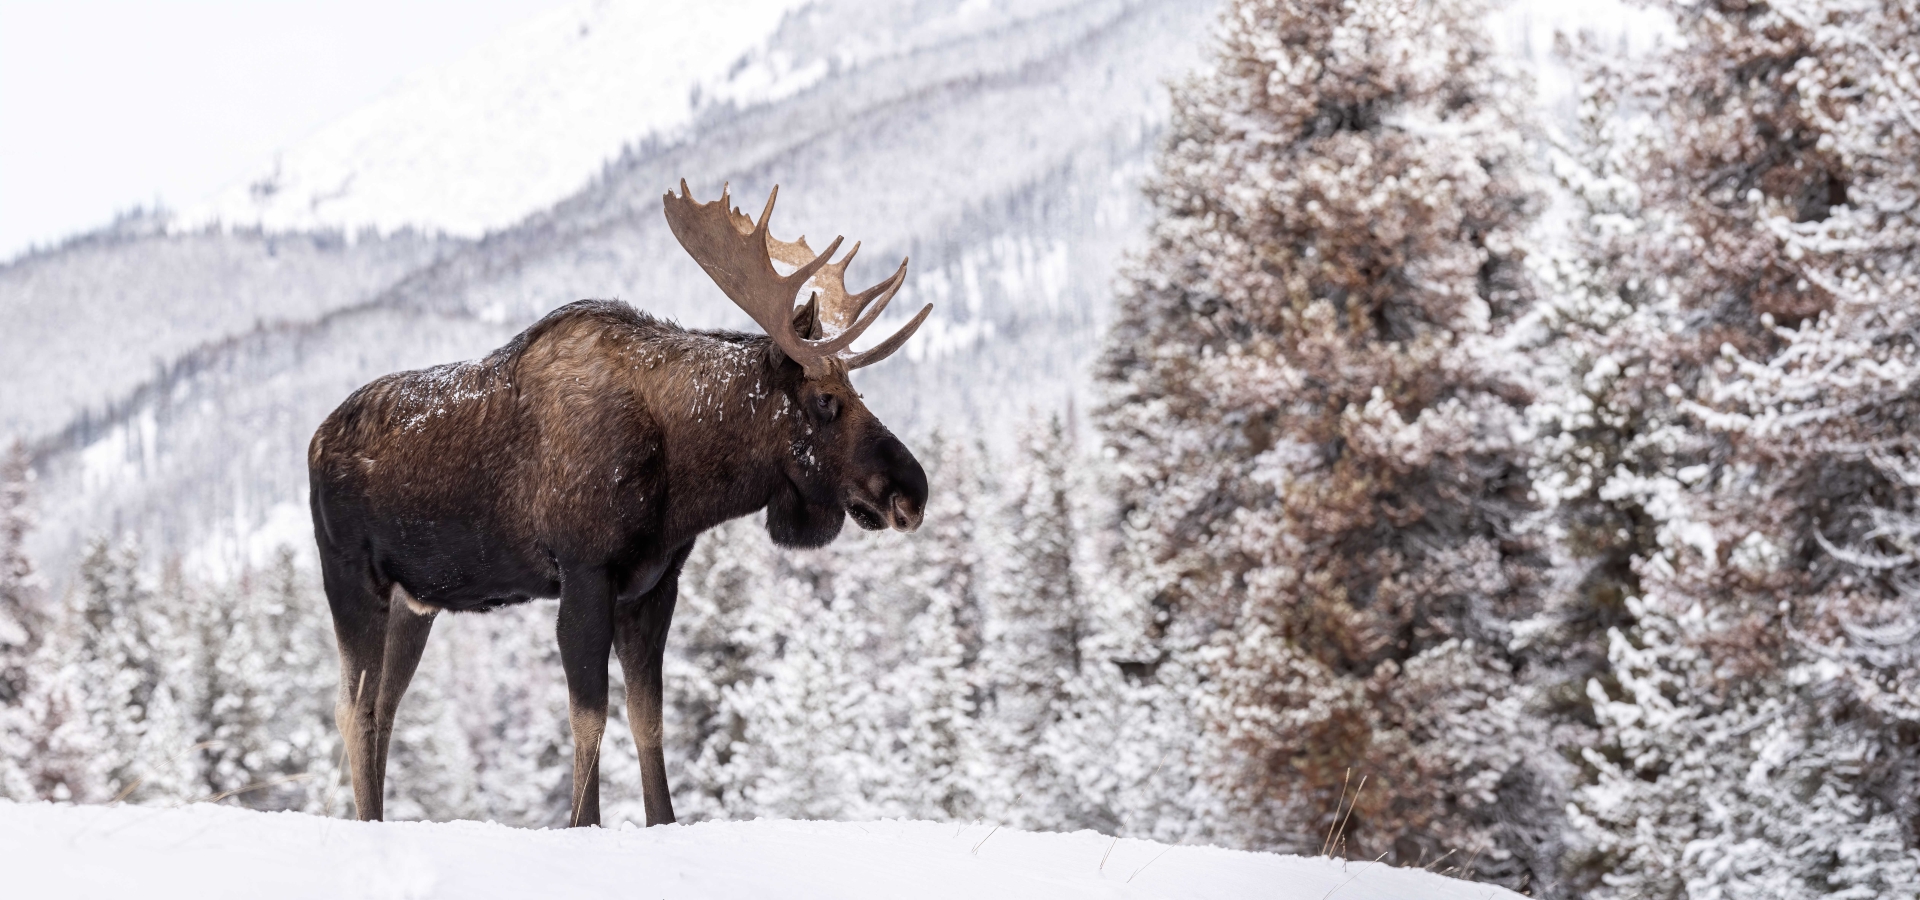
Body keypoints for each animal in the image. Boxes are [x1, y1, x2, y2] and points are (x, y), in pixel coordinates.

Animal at [307, 182, 932, 827]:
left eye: (857, 390)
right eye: (826, 399)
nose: (912, 491)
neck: (684, 475)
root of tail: (315, 441)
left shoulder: (653, 586)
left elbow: (647, 718)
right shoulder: (586, 572)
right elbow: (590, 718)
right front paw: (584, 822)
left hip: (416, 602)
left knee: (385, 706)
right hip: (351, 579)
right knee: (353, 709)